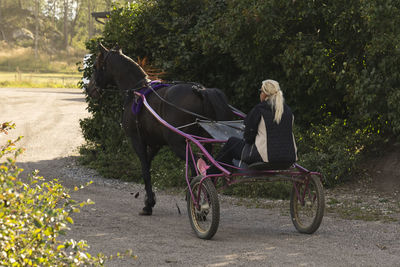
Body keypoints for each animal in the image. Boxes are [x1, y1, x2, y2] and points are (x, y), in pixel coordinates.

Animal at [86, 44, 233, 216]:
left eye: (95, 66)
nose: (89, 88)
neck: (136, 92)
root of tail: (200, 90)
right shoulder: (156, 143)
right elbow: (148, 166)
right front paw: (148, 199)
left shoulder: (137, 140)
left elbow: (145, 170)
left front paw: (148, 204)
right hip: (205, 141)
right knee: (209, 167)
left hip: (178, 143)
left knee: (197, 165)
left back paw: (197, 202)